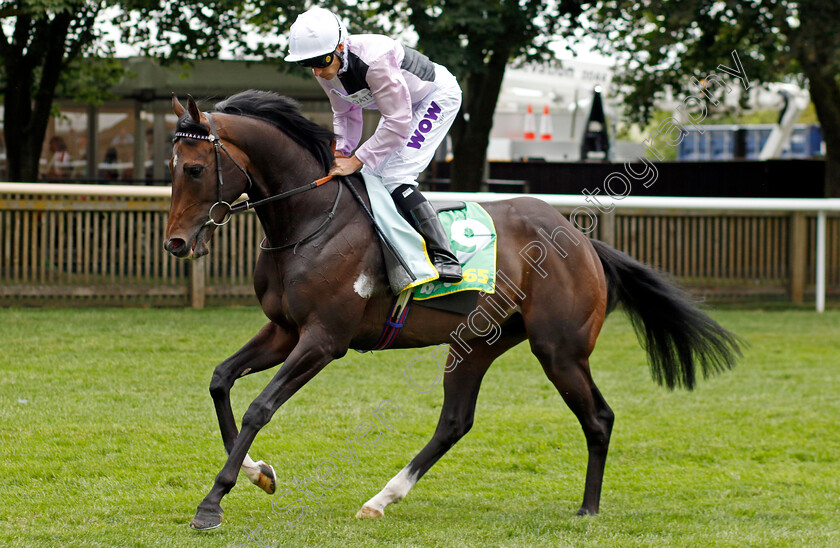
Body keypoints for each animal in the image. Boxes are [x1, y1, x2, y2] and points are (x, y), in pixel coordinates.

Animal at [164, 91, 740, 532]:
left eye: (194, 169)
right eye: (172, 169)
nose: (175, 243)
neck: (310, 221)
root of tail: (580, 240)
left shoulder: (324, 340)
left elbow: (260, 407)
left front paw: (212, 503)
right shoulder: (284, 329)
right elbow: (221, 381)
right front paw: (259, 472)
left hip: (559, 350)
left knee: (598, 418)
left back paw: (588, 510)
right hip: (477, 345)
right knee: (455, 421)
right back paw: (382, 499)